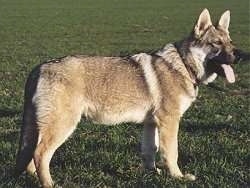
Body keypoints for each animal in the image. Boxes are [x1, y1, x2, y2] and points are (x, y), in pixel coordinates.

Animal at [17, 8, 236, 187]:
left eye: (230, 43)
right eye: (216, 43)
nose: (238, 55)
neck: (183, 65)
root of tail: (39, 67)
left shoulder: (151, 123)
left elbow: (150, 150)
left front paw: (152, 173)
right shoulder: (170, 121)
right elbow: (172, 153)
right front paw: (178, 177)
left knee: (32, 156)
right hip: (63, 125)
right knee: (40, 154)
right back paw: (49, 184)